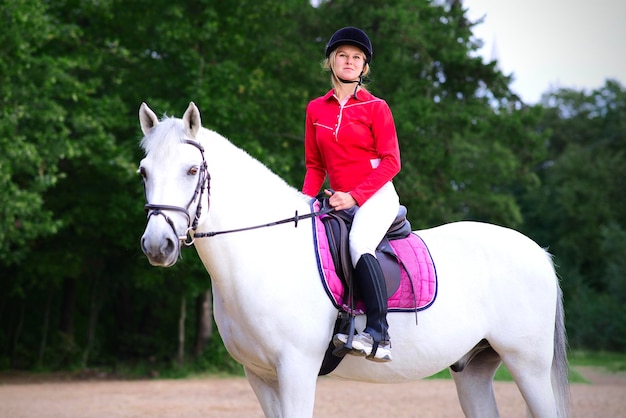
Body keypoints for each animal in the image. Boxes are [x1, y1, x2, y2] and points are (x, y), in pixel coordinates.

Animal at [139, 102, 568, 418]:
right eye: (144, 172)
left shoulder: (296, 370)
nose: (157, 245)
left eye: (192, 169)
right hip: (474, 369)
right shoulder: (260, 376)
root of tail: (539, 253)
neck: (267, 254)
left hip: (528, 365)